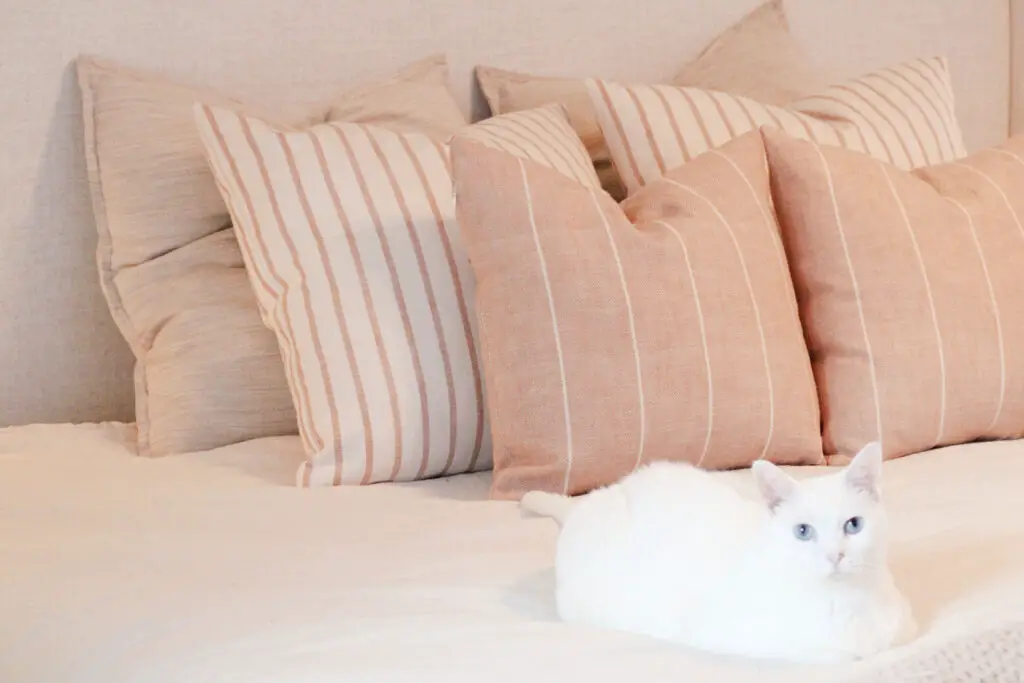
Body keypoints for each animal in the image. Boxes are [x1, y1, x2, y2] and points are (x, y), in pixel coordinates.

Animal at [524, 444, 917, 663]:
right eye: (803, 531)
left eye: (853, 525)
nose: (834, 555)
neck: (847, 603)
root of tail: (585, 504)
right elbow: (835, 654)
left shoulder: (902, 627)